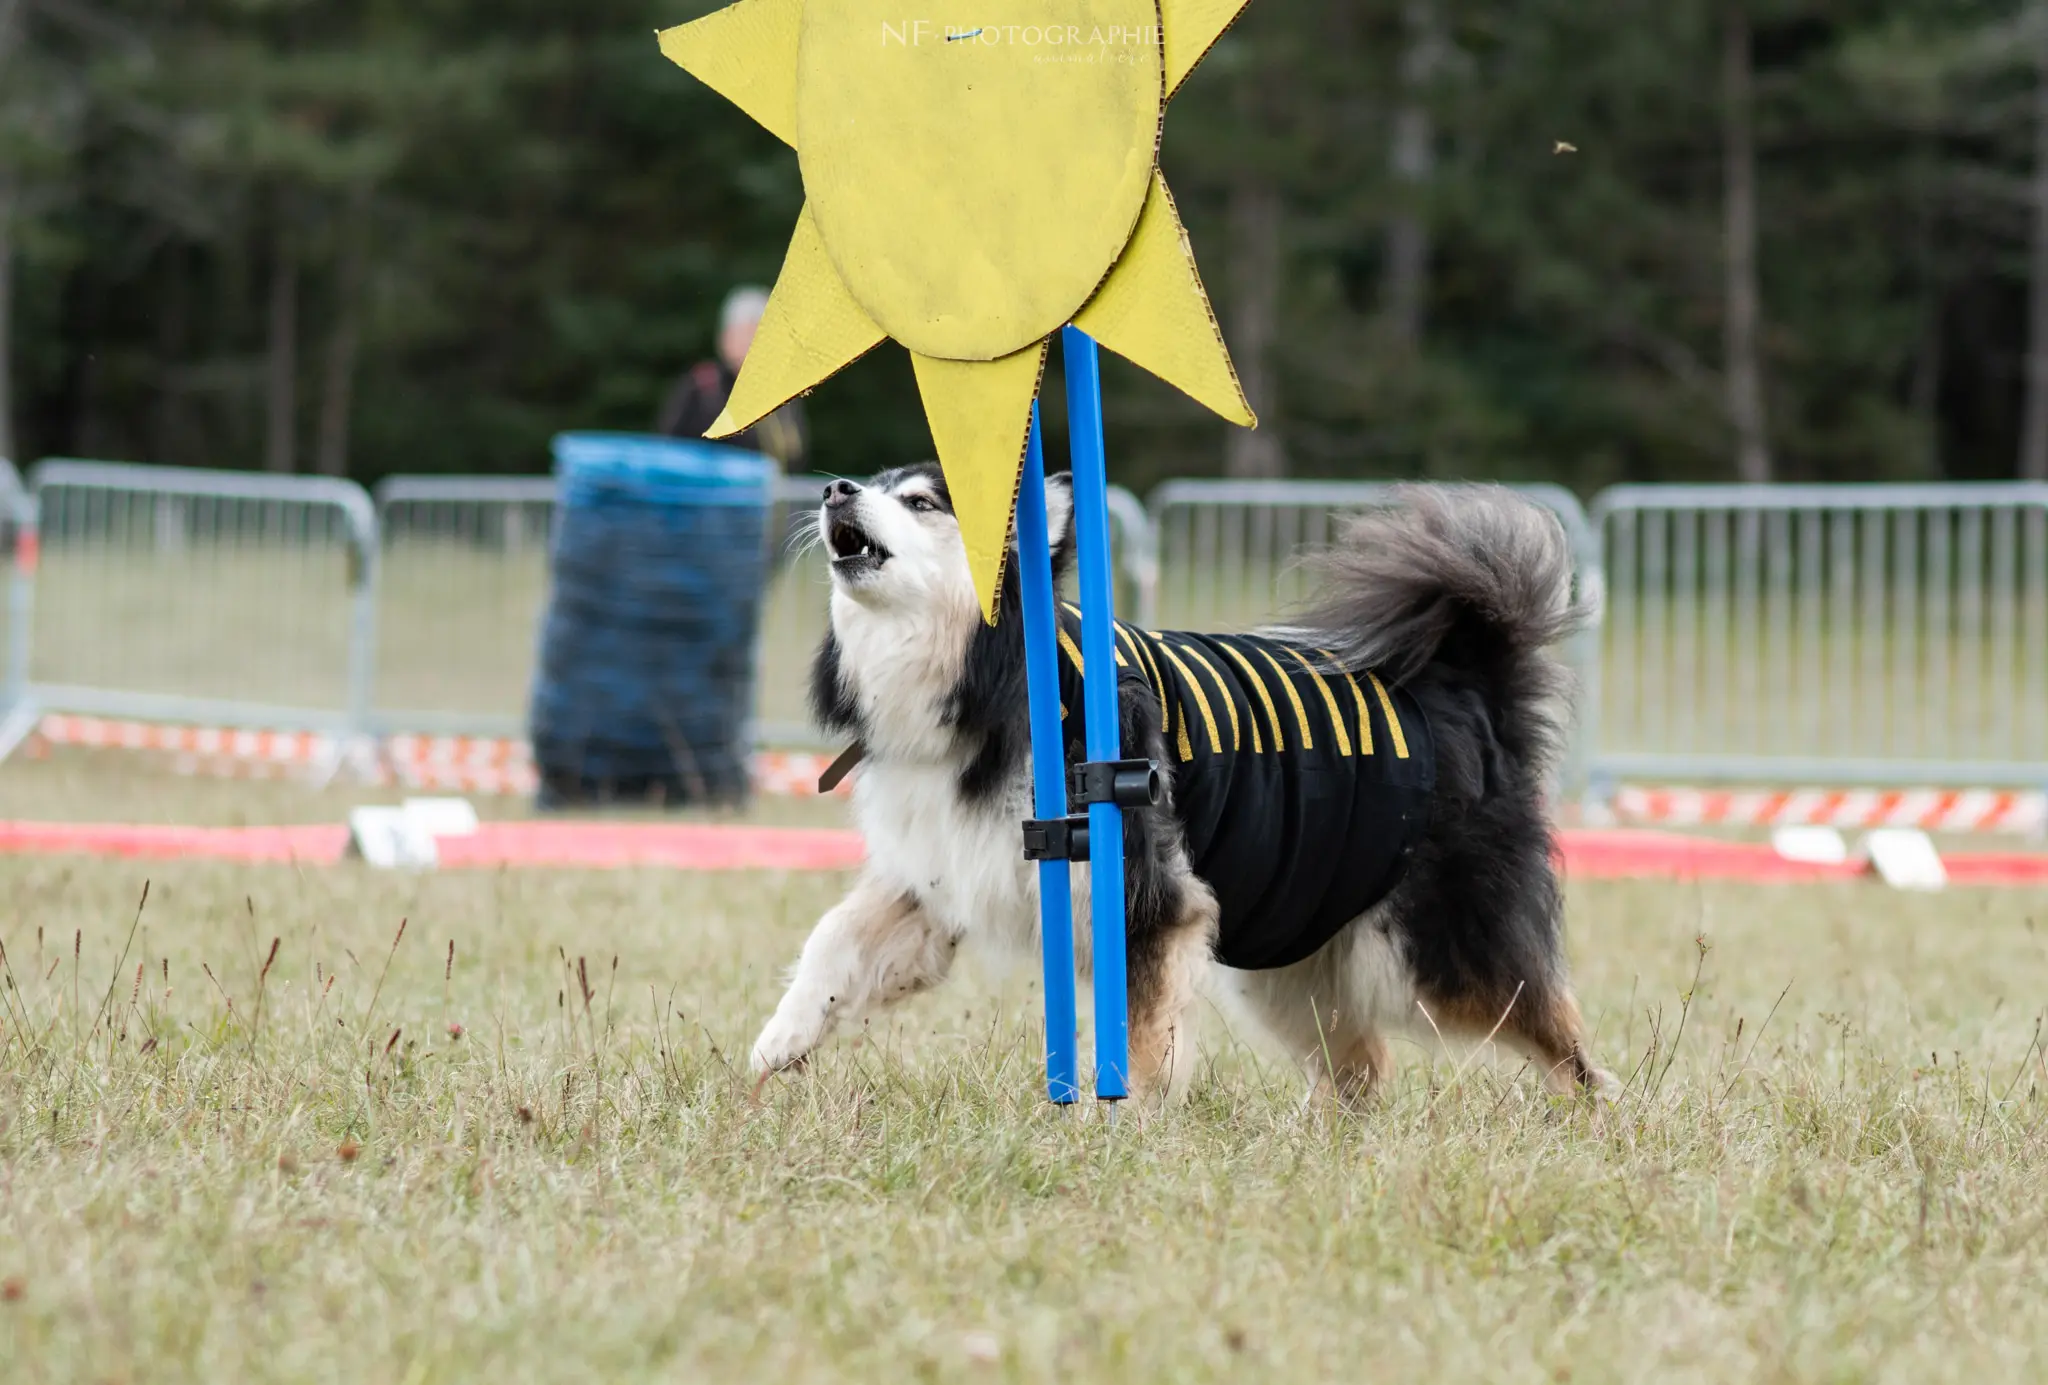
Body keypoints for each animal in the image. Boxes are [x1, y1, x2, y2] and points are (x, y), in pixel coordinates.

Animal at [753, 465, 1613, 1106]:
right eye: (870, 482)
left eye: (922, 502)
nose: (833, 488)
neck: (994, 677)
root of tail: (1465, 681)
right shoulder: (940, 873)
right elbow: (834, 939)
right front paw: (779, 1040)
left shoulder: (1147, 895)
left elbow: (1136, 1032)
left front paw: (1118, 1121)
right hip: (1291, 945)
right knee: (1363, 1066)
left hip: (1431, 945)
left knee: (1551, 1029)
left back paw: (1597, 1112)